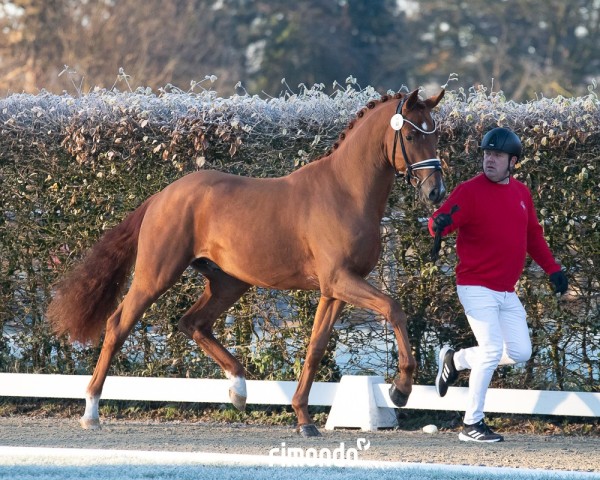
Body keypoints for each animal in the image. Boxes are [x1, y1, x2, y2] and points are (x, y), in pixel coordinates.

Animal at [48, 88, 446, 436]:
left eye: (436, 134)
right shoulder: (340, 280)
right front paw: (400, 389)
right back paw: (91, 411)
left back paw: (239, 389)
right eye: (411, 135)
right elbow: (393, 308)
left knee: (193, 323)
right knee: (118, 325)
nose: (436, 192)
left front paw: (304, 419)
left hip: (230, 281)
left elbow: (316, 347)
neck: (345, 192)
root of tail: (162, 196)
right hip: (155, 275)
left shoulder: (334, 290)